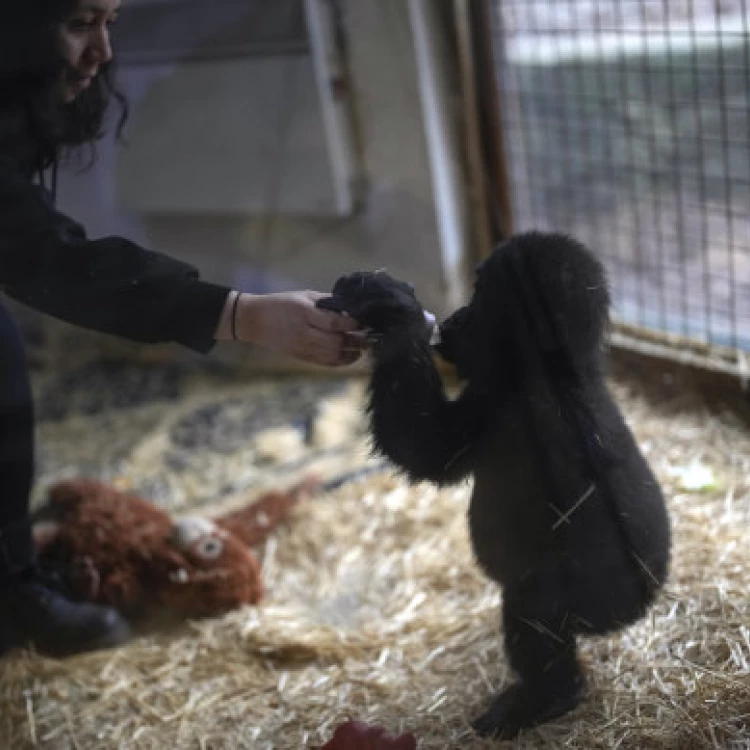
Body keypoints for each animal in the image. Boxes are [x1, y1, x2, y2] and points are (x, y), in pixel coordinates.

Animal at [320, 234, 672, 740]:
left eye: (480, 298)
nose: (455, 318)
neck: (556, 368)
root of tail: (640, 610)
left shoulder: (511, 408)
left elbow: (424, 444)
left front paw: (393, 314)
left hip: (597, 603)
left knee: (534, 607)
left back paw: (548, 696)